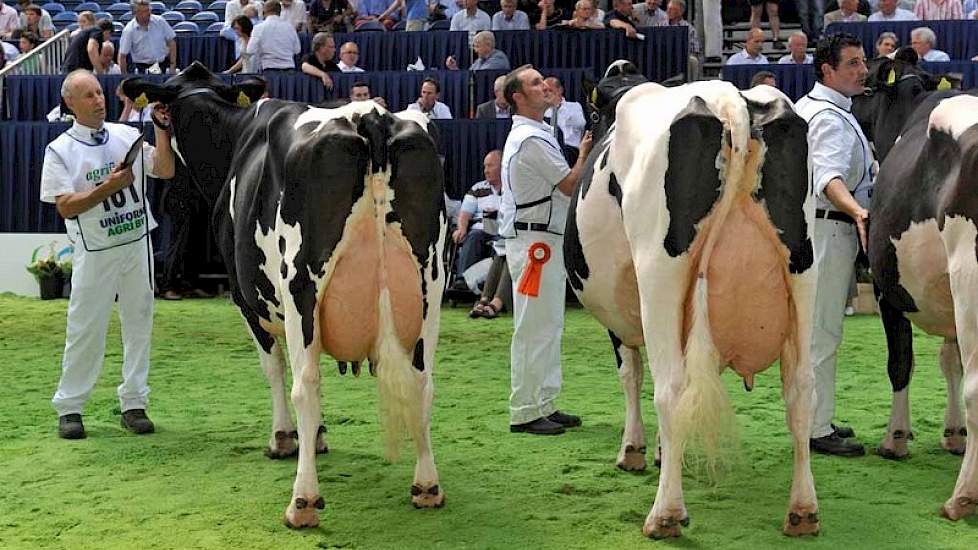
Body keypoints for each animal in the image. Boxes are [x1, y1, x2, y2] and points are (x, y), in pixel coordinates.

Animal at [122, 62, 446, 528]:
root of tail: (371, 117)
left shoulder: (247, 300)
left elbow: (273, 367)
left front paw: (284, 438)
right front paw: (320, 436)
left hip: (301, 287)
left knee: (304, 384)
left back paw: (303, 502)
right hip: (430, 285)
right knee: (422, 381)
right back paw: (426, 486)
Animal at [560, 63, 820, 540]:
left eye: (591, 117)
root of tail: (731, 98)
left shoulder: (623, 317)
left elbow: (631, 373)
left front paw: (634, 450)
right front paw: (663, 453)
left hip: (659, 272)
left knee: (672, 389)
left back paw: (665, 514)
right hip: (804, 269)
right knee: (801, 389)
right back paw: (803, 511)